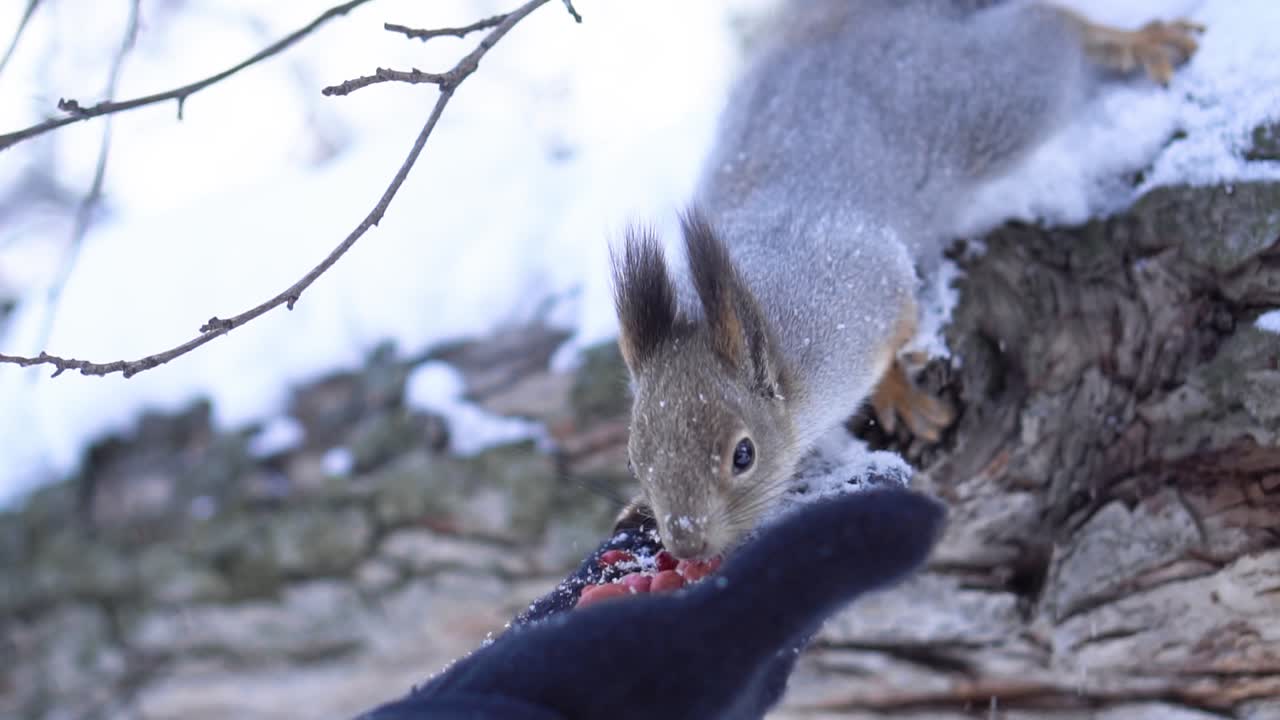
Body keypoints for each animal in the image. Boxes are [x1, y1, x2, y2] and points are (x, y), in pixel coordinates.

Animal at [610, 1, 1202, 560]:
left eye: (744, 454)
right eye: (636, 460)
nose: (686, 541)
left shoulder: (861, 296)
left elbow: (900, 322)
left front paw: (900, 395)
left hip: (988, 100)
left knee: (1048, 30)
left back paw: (1135, 41)